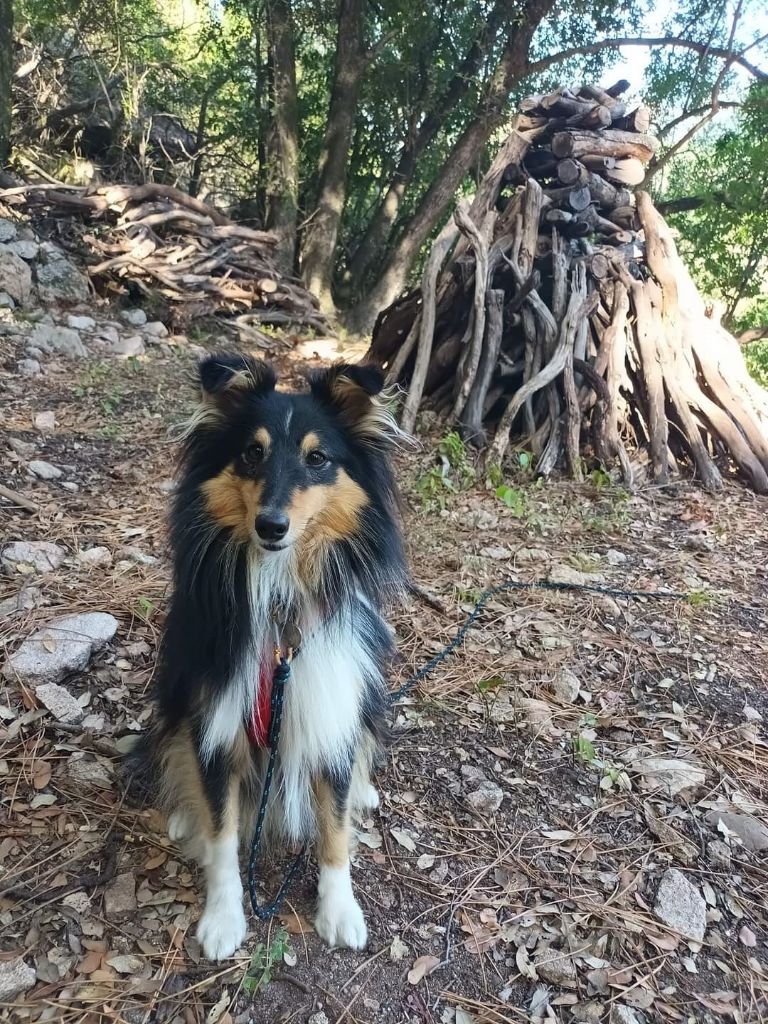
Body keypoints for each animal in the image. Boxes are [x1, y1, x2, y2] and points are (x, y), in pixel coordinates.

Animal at [134, 354, 409, 958]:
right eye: (251, 452)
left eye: (318, 458)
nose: (271, 525)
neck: (281, 600)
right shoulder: (215, 721)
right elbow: (223, 832)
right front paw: (223, 918)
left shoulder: (330, 703)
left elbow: (334, 826)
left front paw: (340, 910)